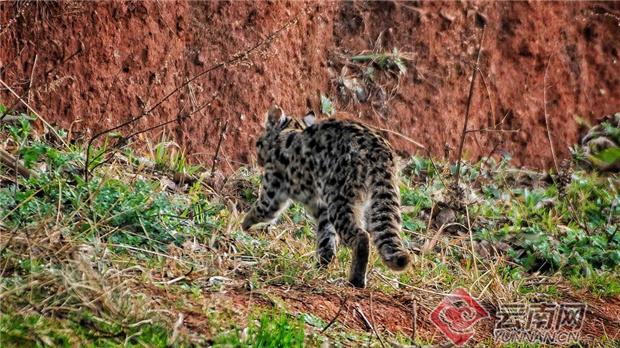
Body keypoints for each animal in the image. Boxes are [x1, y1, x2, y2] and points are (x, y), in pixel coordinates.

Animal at [242, 106, 412, 288]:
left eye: (258, 142)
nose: (258, 157)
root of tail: (379, 151)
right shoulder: (320, 206)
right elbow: (327, 238)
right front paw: (322, 266)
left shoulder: (273, 189)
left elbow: (259, 211)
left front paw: (242, 226)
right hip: (381, 203)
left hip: (341, 201)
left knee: (362, 236)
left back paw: (356, 280)